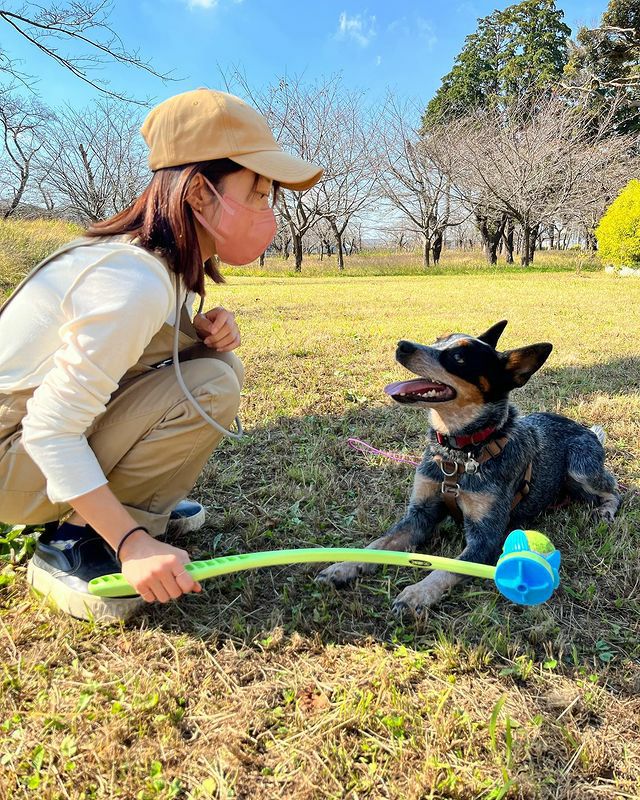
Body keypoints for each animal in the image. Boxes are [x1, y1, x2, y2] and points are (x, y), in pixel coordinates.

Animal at [317, 320, 620, 618]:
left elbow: (446, 568)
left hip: (581, 465)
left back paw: (606, 509)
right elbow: (378, 544)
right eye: (438, 339)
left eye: (459, 358)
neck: (458, 455)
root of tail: (587, 431)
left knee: (614, 487)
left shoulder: (485, 537)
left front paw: (417, 593)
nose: (402, 345)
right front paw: (342, 566)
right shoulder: (420, 515)